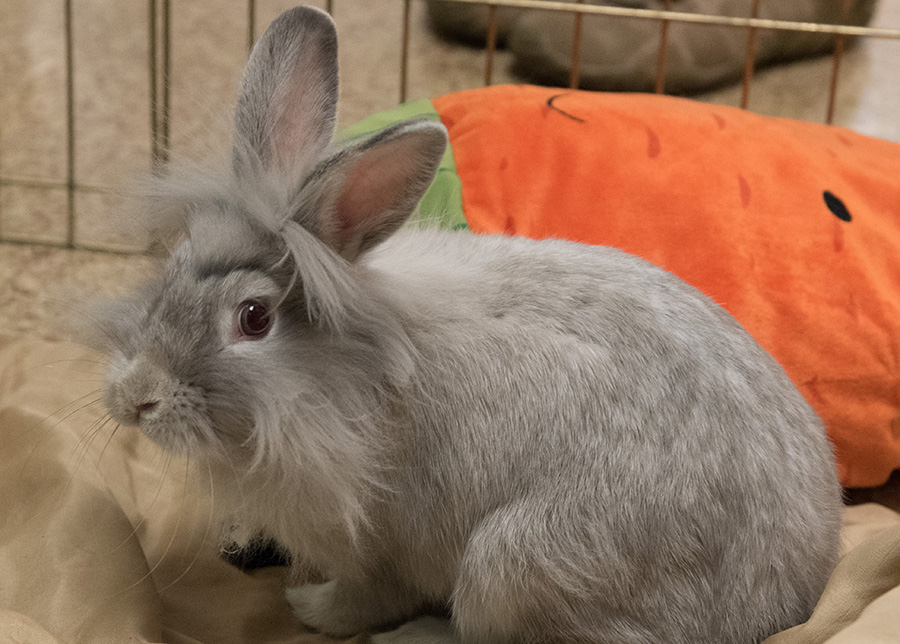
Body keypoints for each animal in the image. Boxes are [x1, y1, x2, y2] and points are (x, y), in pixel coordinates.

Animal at [93, 6, 843, 644]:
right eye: (175, 265)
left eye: (253, 319)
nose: (135, 398)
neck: (339, 377)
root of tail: (790, 600)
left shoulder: (381, 550)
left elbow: (359, 601)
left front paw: (307, 608)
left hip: (508, 568)